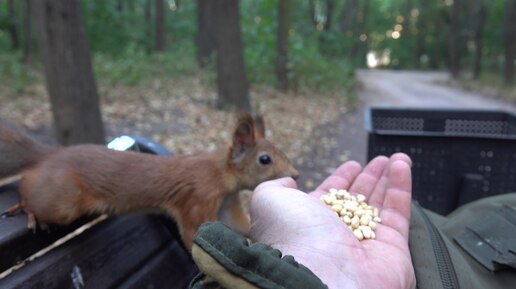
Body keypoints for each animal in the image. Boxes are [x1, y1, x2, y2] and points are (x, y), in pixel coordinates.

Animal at [0, 113, 298, 249]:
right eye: (264, 159)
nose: (295, 175)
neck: (220, 174)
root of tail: (51, 154)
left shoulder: (227, 203)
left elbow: (239, 225)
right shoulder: (197, 199)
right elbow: (193, 234)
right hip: (63, 199)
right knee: (29, 186)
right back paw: (27, 208)